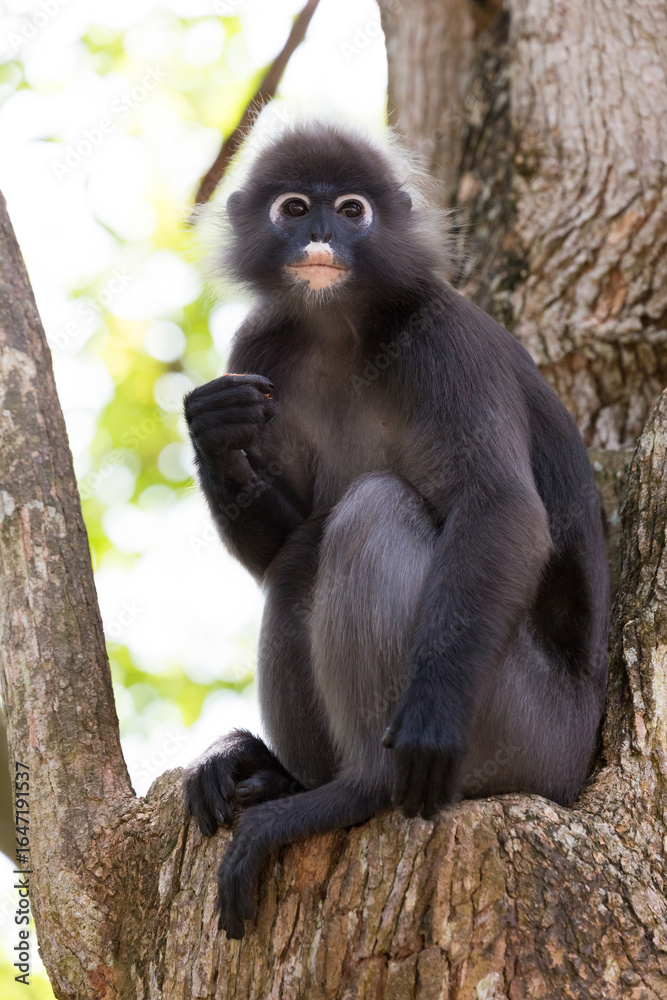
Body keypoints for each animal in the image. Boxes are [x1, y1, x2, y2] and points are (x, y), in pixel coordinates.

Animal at [182, 121, 610, 940]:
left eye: (352, 209)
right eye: (294, 206)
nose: (320, 233)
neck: (339, 328)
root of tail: (577, 765)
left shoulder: (446, 339)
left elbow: (500, 508)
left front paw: (427, 722)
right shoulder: (259, 350)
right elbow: (273, 543)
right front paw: (214, 434)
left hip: (520, 730)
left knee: (371, 509)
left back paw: (356, 791)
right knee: (300, 556)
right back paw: (278, 775)